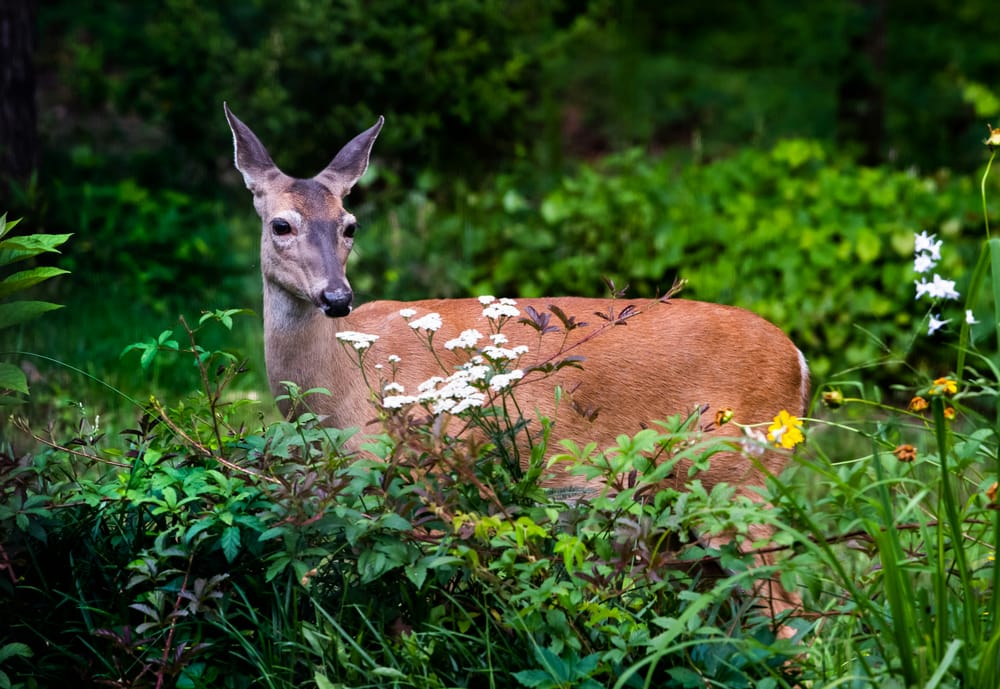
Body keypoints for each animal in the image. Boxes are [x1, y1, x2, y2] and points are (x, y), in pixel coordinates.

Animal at [223, 103, 808, 640]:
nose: (337, 297)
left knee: (788, 609)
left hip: (736, 478)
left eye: (350, 225)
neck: (340, 385)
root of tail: (799, 364)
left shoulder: (423, 476)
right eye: (281, 224)